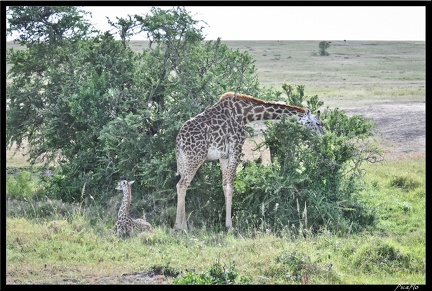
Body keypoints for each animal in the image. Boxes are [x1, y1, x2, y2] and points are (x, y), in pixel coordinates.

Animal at [174, 92, 322, 232]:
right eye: (318, 123)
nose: (322, 136)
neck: (245, 113)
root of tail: (179, 140)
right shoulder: (236, 147)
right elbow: (230, 186)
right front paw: (230, 226)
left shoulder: (223, 155)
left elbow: (224, 185)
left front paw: (227, 223)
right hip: (196, 158)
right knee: (182, 185)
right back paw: (181, 227)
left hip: (183, 160)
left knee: (180, 184)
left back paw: (179, 224)